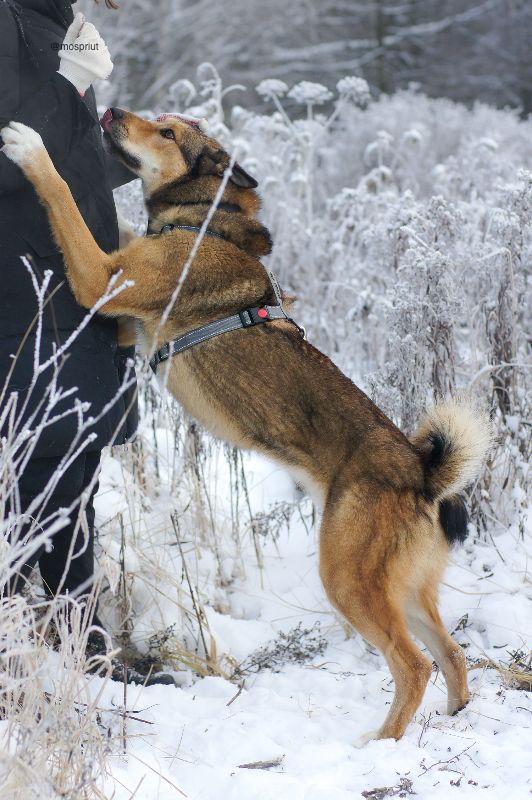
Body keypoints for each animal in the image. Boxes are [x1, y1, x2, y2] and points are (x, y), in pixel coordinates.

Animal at [0, 109, 492, 740]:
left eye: (167, 132)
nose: (109, 112)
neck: (206, 221)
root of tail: (423, 474)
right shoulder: (122, 309)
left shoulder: (100, 277)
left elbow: (63, 195)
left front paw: (30, 148)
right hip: (404, 587)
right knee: (452, 654)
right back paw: (451, 719)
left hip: (348, 579)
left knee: (414, 664)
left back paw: (378, 744)